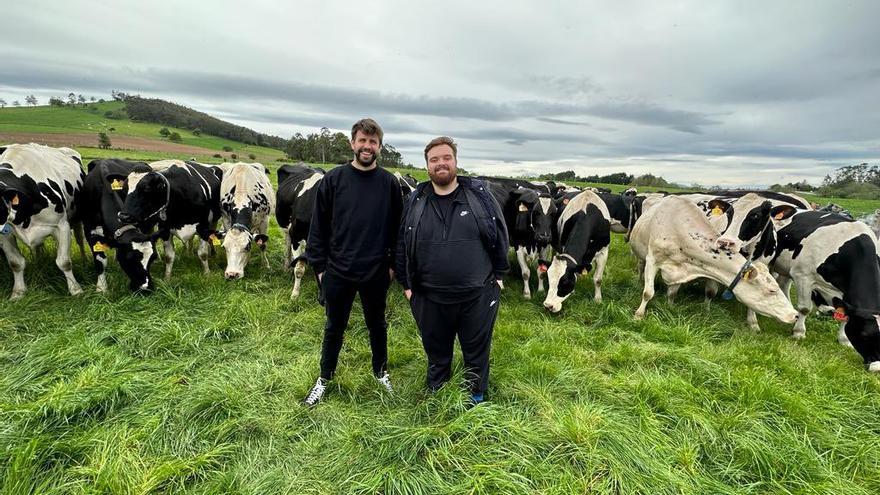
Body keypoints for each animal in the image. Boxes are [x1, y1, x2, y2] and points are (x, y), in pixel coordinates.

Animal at [0, 143, 85, 298]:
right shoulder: (5, 233)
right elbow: (15, 263)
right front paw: (18, 293)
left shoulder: (62, 226)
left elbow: (64, 262)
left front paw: (76, 290)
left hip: (77, 219)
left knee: (80, 240)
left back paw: (84, 261)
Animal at [276, 164, 324, 298]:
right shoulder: (296, 235)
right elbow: (298, 269)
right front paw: (295, 294)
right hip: (286, 227)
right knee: (287, 245)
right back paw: (286, 267)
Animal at [628, 196, 800, 328]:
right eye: (772, 290)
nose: (795, 315)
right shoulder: (653, 260)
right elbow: (648, 293)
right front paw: (638, 315)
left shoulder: (682, 268)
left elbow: (673, 292)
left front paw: (669, 307)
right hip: (640, 255)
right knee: (640, 267)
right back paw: (638, 281)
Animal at [764, 206, 880, 372]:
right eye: (863, 334)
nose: (877, 368)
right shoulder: (803, 276)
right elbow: (805, 308)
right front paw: (799, 333)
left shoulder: (846, 296)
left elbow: (845, 316)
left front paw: (844, 340)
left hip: (786, 267)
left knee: (783, 284)